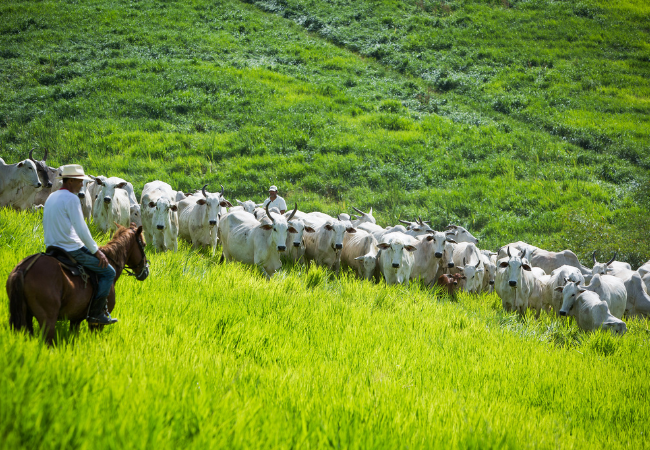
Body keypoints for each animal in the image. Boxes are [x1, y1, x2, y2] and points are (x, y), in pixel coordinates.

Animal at [6, 224, 148, 344]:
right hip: (48, 320)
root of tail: (24, 269)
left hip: (26, 318)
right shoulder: (97, 324)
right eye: (144, 244)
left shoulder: (75, 319)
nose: (146, 271)